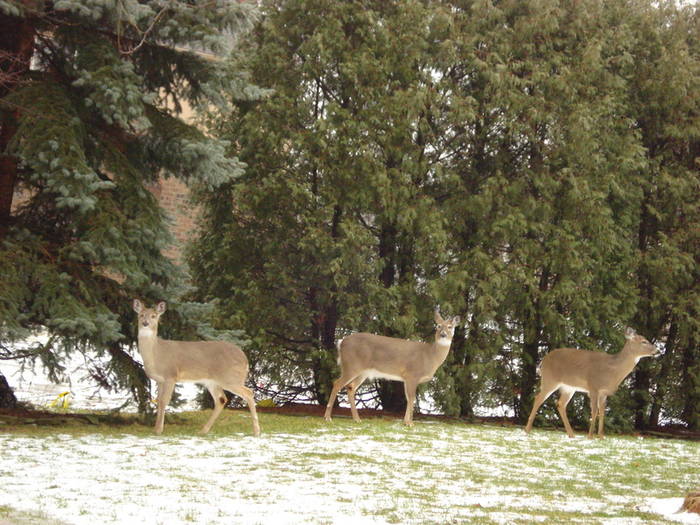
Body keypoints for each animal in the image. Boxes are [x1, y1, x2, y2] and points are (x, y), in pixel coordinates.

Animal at [133, 298, 262, 438]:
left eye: (153, 316)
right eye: (141, 315)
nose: (145, 323)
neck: (156, 354)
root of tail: (245, 359)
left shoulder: (171, 375)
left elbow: (164, 401)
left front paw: (158, 430)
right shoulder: (160, 380)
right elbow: (159, 401)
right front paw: (156, 429)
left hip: (230, 378)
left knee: (248, 393)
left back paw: (257, 431)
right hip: (212, 382)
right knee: (221, 400)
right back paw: (203, 430)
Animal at [322, 308, 460, 426]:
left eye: (450, 327)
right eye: (438, 326)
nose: (443, 334)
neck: (430, 356)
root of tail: (341, 342)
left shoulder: (407, 378)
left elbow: (408, 398)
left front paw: (406, 422)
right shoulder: (412, 374)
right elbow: (411, 398)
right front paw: (409, 423)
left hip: (362, 372)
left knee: (350, 387)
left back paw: (357, 419)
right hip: (351, 365)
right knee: (337, 383)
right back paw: (328, 417)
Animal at [524, 328, 660, 438]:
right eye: (643, 341)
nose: (657, 350)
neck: (613, 371)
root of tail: (543, 361)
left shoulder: (604, 392)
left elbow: (602, 412)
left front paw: (601, 436)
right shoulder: (593, 386)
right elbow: (594, 411)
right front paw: (590, 436)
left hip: (569, 387)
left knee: (561, 404)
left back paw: (571, 434)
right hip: (550, 380)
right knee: (538, 398)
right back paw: (527, 429)